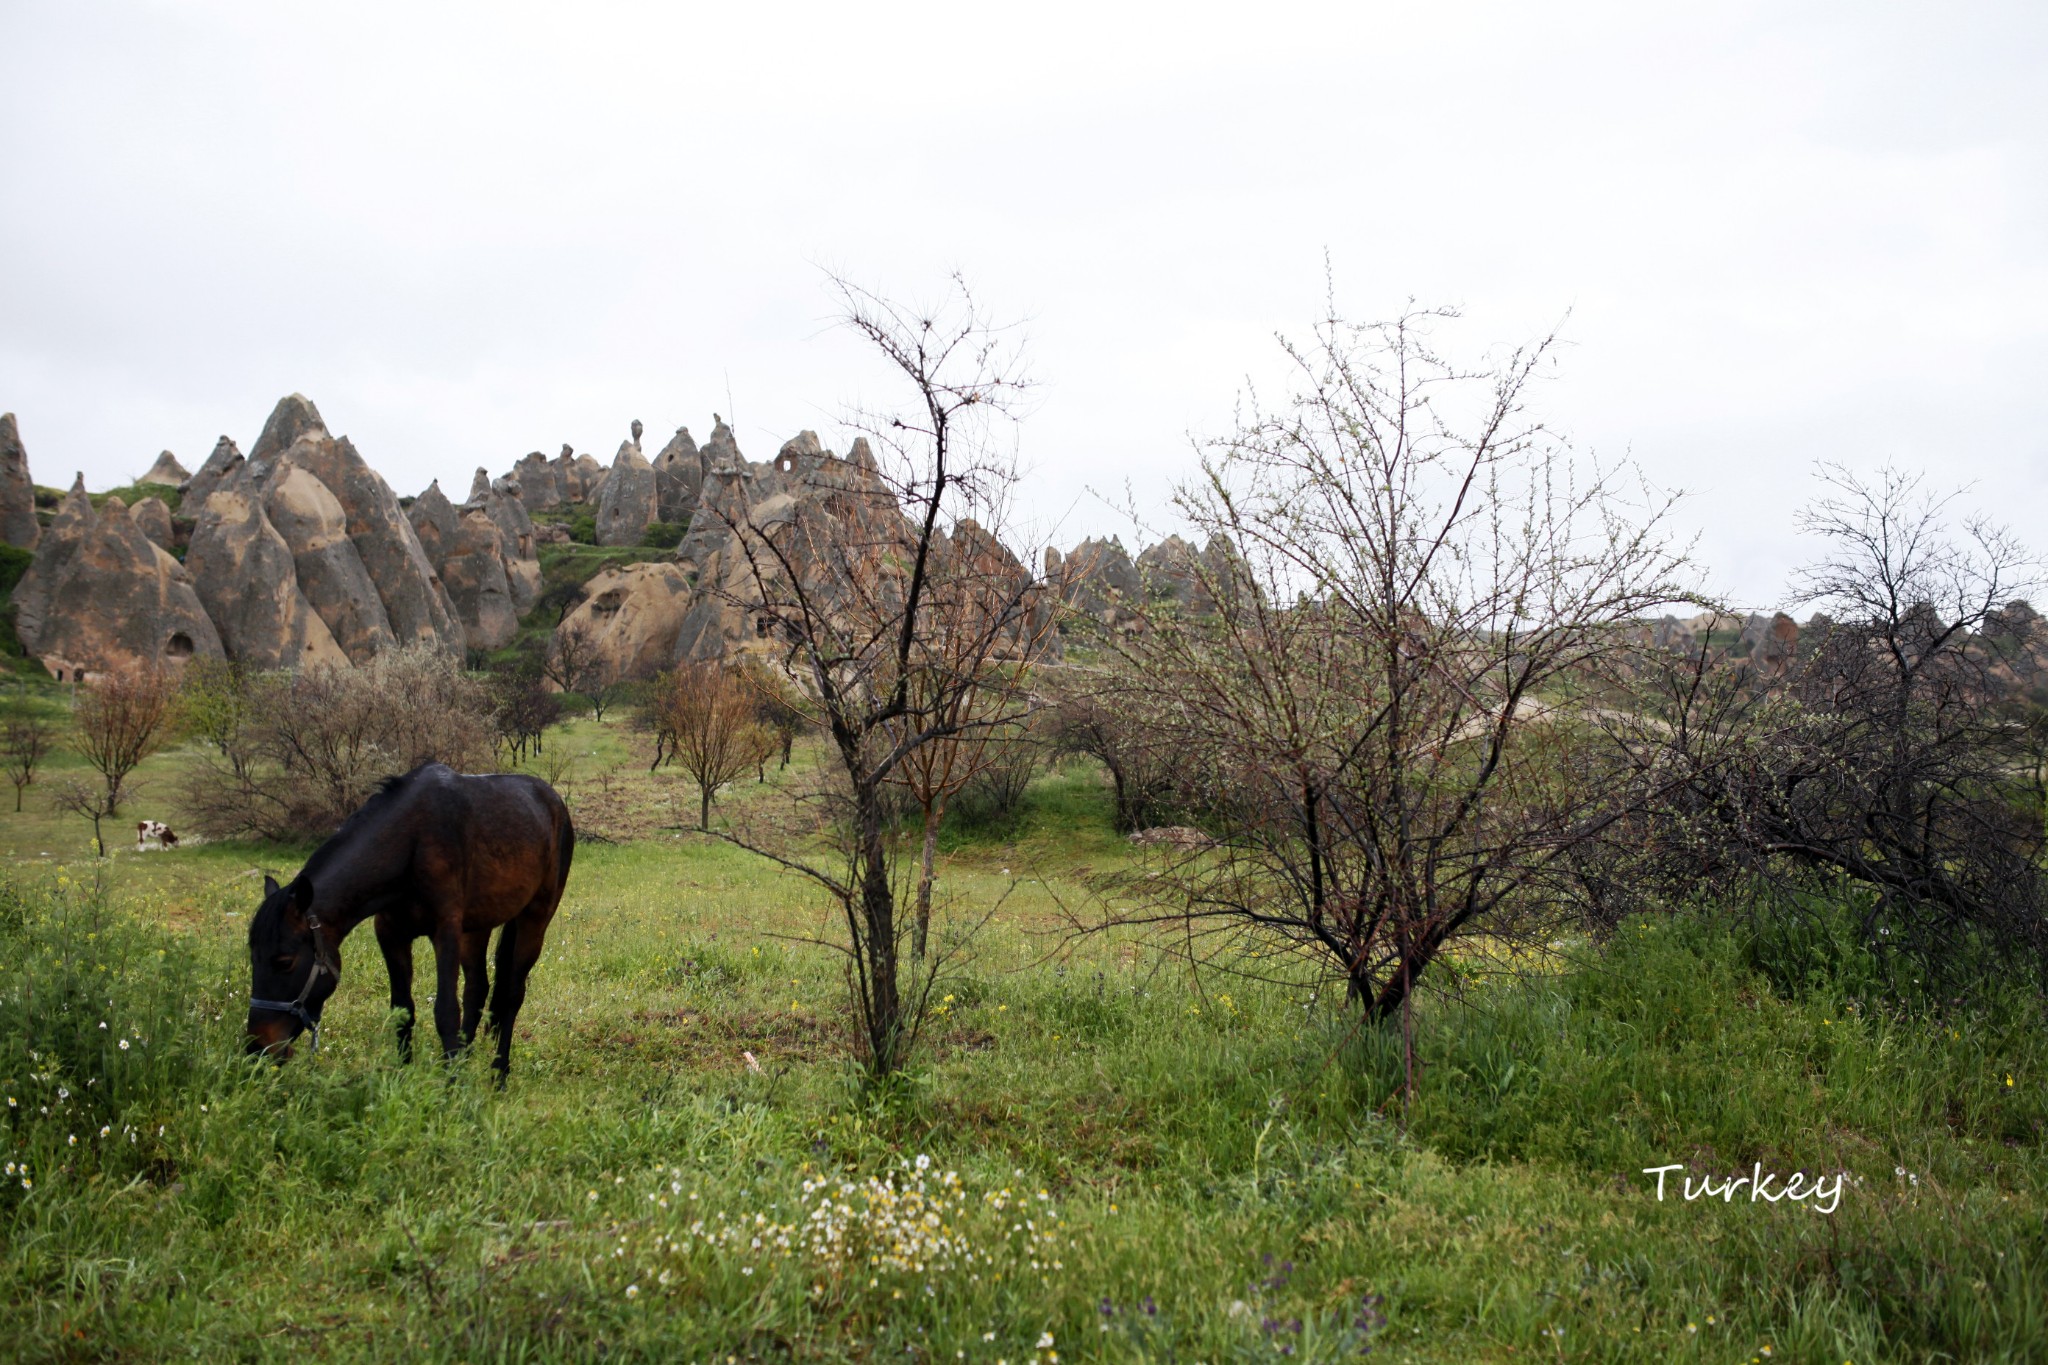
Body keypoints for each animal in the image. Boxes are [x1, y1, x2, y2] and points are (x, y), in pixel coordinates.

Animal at [245, 765, 577, 1080]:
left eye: (284, 961)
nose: (256, 1047)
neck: (410, 843)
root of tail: (553, 801)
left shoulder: (445, 931)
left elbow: (446, 1012)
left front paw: (452, 1090)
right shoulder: (391, 933)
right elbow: (403, 1008)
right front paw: (408, 1077)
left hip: (534, 919)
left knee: (510, 996)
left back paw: (499, 1076)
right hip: (476, 927)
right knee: (477, 990)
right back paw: (463, 1060)